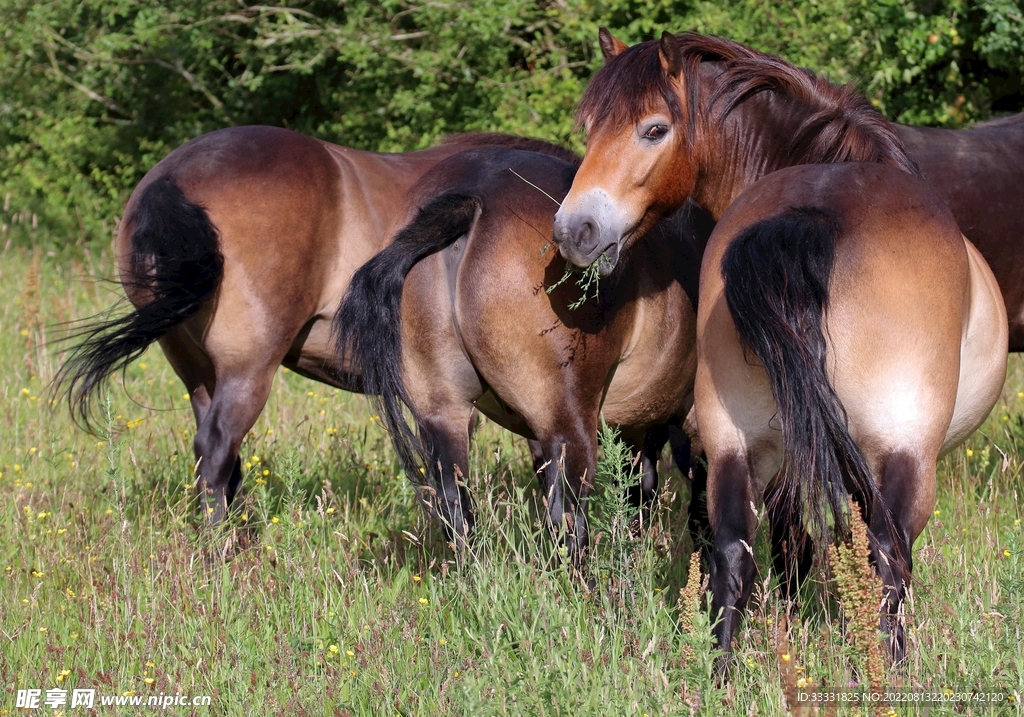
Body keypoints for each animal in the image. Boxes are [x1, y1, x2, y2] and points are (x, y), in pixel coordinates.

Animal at [551, 30, 1008, 662]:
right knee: (889, 558)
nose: (574, 231)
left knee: (731, 553)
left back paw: (721, 671)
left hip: (733, 441)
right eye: (591, 128)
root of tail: (812, 213)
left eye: (654, 129)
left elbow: (786, 544)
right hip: (903, 453)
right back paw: (893, 671)